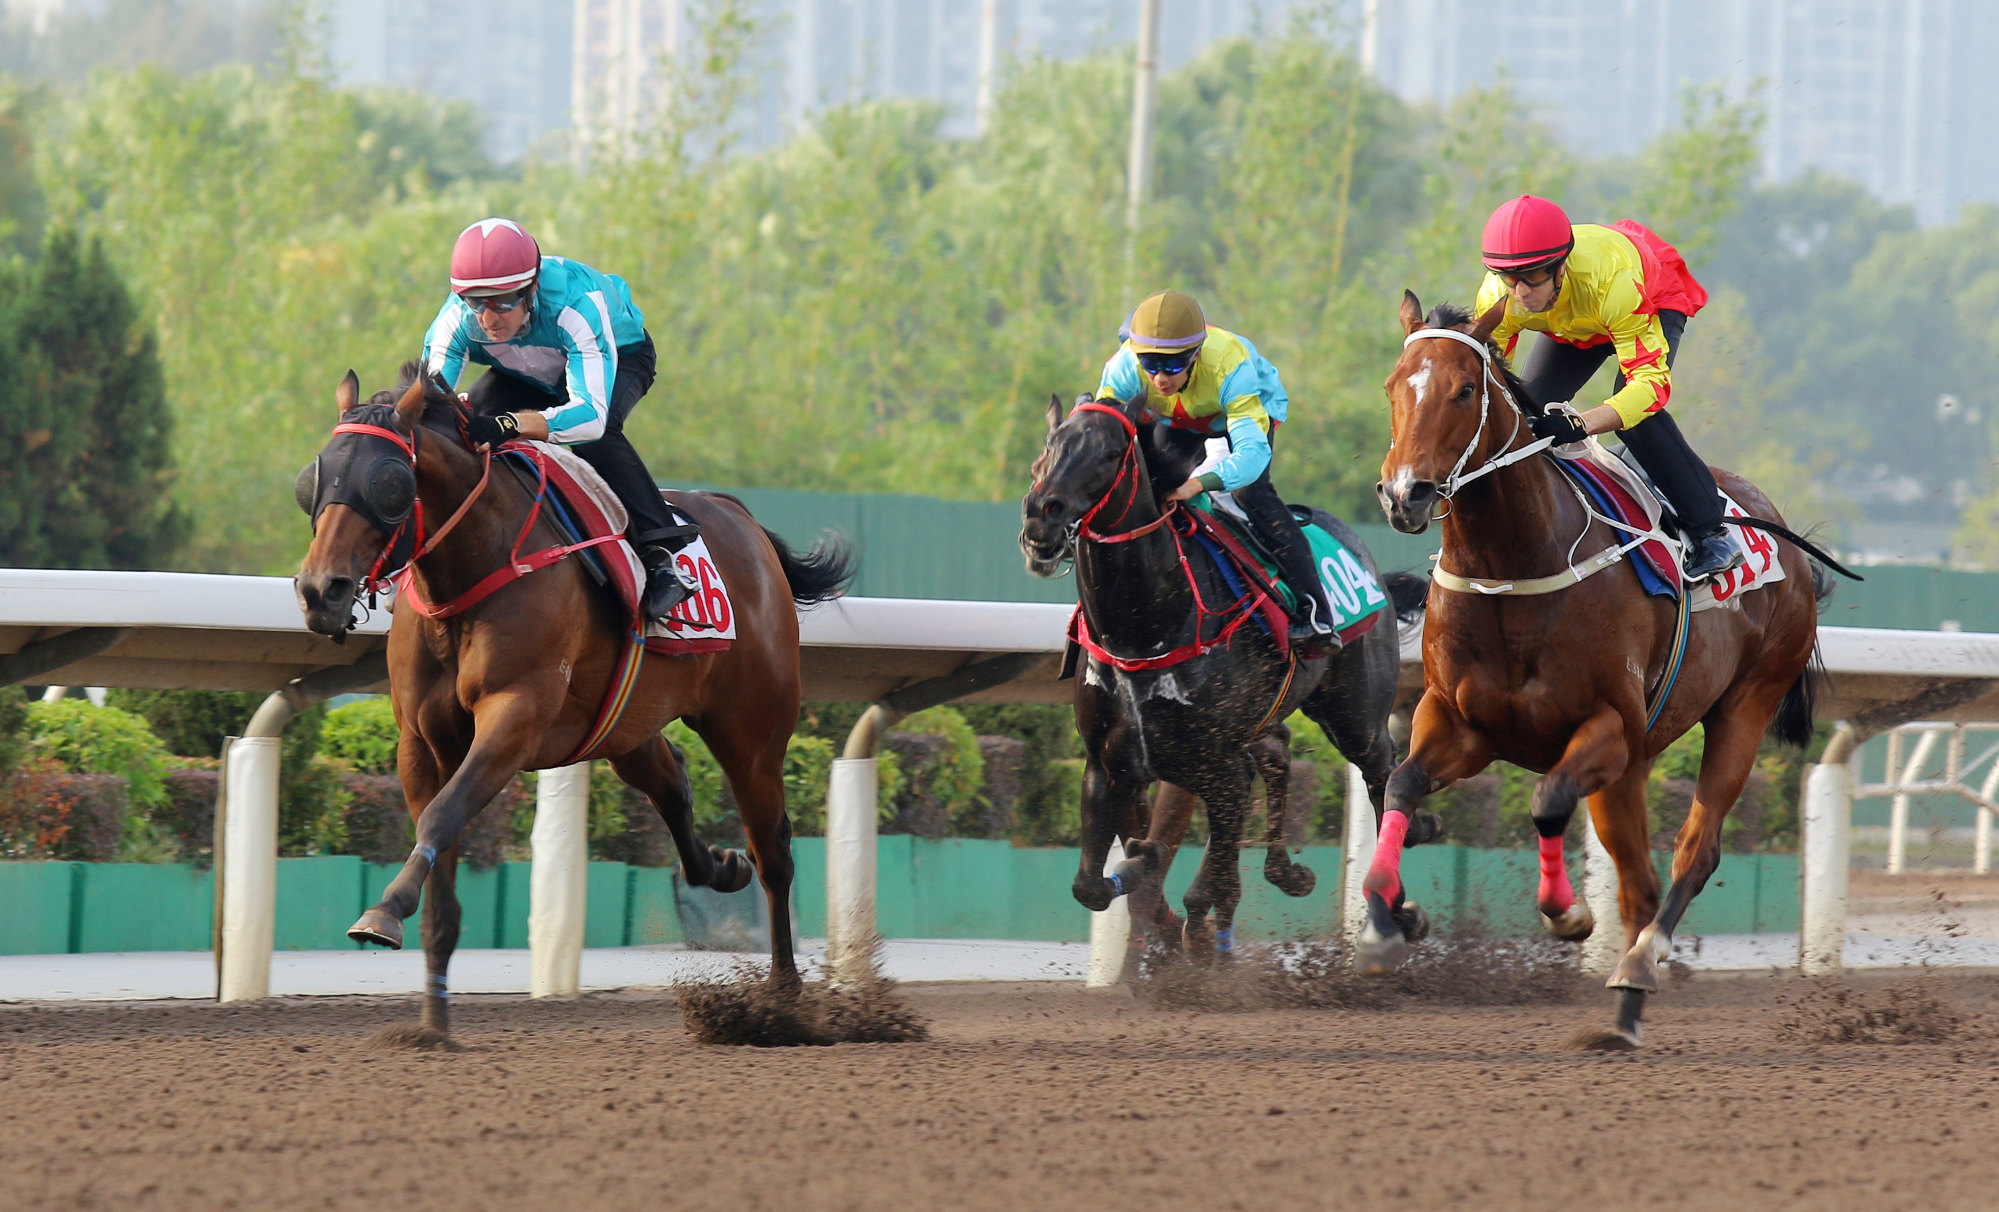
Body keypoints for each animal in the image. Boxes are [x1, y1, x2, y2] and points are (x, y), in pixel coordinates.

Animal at [291, 366, 847, 1040]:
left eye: (389, 483)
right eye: (315, 479)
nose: (320, 590)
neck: (471, 571)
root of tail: (739, 516)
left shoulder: (515, 716)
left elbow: (442, 818)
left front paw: (384, 911)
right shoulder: (420, 742)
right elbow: (441, 868)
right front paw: (431, 1027)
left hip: (752, 730)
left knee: (774, 852)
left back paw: (784, 999)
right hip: (626, 725)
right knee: (672, 783)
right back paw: (720, 867)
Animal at [1375, 296, 1831, 1056]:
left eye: (1463, 391)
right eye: (1392, 387)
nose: (1404, 494)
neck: (1511, 569)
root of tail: (1778, 529)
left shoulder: (1609, 728)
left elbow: (1545, 801)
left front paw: (1566, 915)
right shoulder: (1458, 722)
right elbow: (1401, 783)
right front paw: (1387, 917)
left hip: (1745, 704)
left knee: (1693, 854)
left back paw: (1638, 967)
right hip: (1634, 767)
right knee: (1638, 882)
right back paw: (1622, 1015)